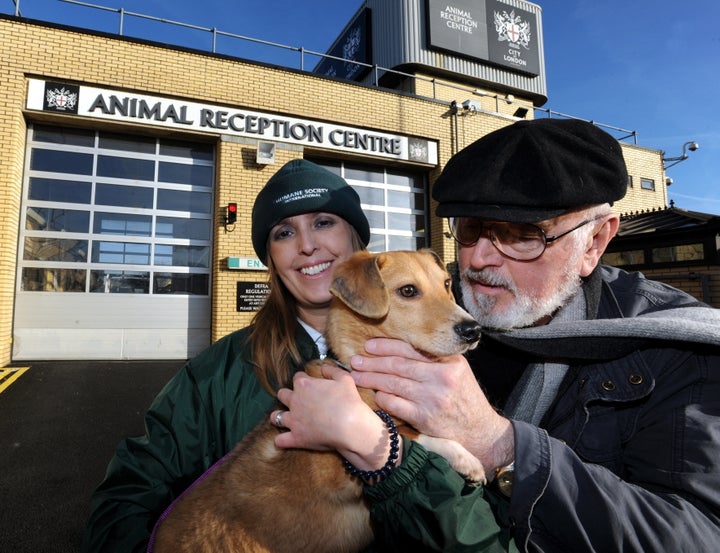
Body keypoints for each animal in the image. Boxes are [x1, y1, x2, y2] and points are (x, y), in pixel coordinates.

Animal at [155, 249, 486, 552]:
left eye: (446, 283)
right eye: (408, 291)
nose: (473, 330)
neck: (356, 372)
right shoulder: (337, 471)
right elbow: (408, 433)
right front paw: (466, 458)